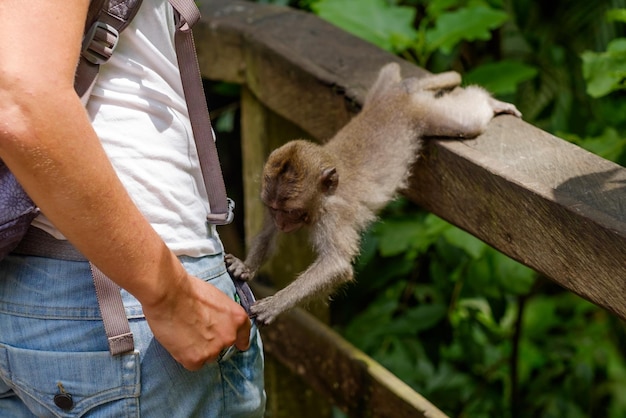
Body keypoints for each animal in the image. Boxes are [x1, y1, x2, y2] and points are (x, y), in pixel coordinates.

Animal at [227, 62, 520, 324]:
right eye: (274, 209)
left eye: (290, 211)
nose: (281, 222)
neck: (324, 197)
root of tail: (395, 97)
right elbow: (268, 236)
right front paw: (245, 267)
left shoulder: (333, 217)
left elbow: (337, 265)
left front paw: (274, 305)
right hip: (380, 91)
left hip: (424, 114)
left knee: (467, 122)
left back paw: (491, 104)